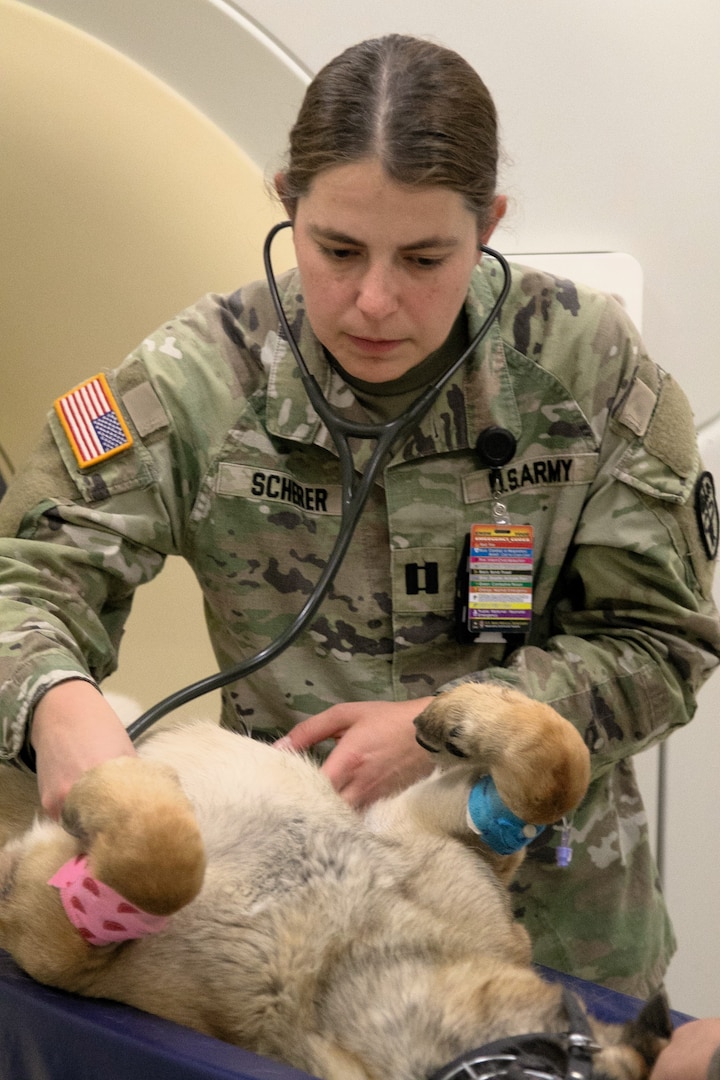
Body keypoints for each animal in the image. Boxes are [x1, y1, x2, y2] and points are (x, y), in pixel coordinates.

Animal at [0, 686, 669, 1075]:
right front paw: (461, 711)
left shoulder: (61, 945)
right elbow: (556, 767)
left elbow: (164, 860)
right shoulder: (426, 830)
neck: (345, 953)